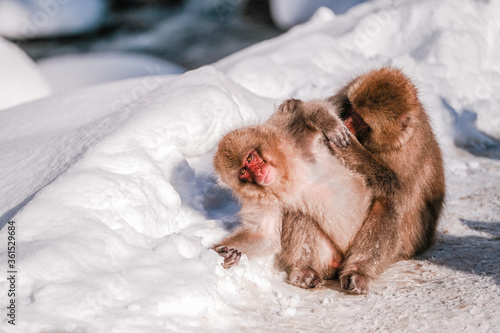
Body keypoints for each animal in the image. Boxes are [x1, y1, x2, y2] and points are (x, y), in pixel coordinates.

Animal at [211, 67, 446, 294]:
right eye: (243, 172)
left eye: (250, 158)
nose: (259, 174)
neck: (287, 172)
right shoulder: (263, 199)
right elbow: (264, 235)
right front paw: (222, 254)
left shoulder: (291, 134)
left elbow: (310, 112)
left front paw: (325, 122)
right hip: (328, 254)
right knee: (300, 213)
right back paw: (305, 270)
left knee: (389, 205)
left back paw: (358, 271)